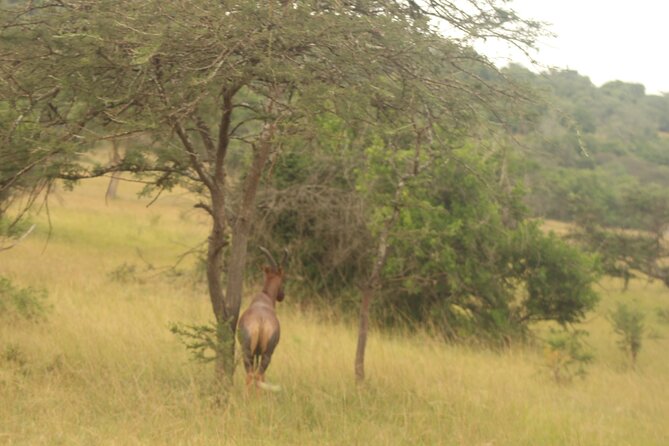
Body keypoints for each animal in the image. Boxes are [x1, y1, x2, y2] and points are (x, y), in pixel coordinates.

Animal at [236, 247, 286, 390]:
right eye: (283, 277)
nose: (282, 295)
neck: (264, 298)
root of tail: (261, 322)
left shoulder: (256, 352)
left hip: (249, 352)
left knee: (251, 375)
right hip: (266, 353)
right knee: (258, 375)